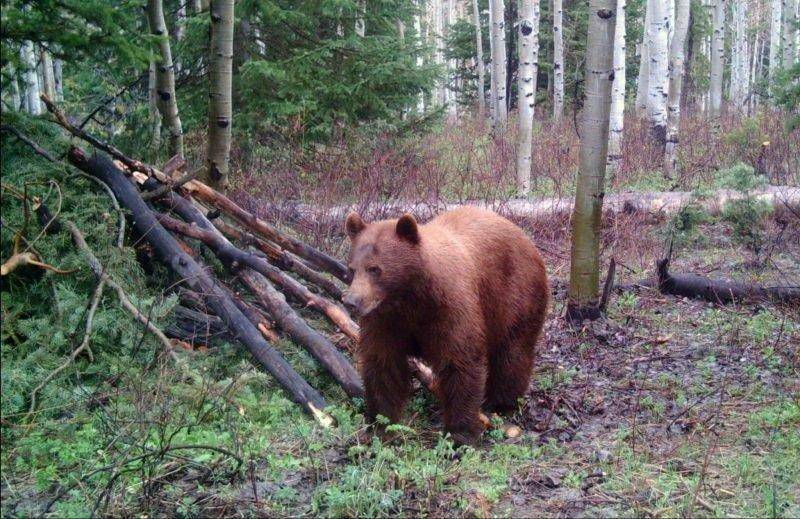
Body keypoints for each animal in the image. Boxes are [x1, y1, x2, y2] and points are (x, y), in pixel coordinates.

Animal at [340, 207, 548, 446]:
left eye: (375, 269)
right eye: (352, 268)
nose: (351, 301)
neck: (411, 297)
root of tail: (524, 236)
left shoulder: (450, 310)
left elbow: (460, 362)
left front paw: (459, 434)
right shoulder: (386, 320)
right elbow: (383, 365)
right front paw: (381, 426)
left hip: (515, 295)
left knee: (512, 352)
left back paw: (500, 401)